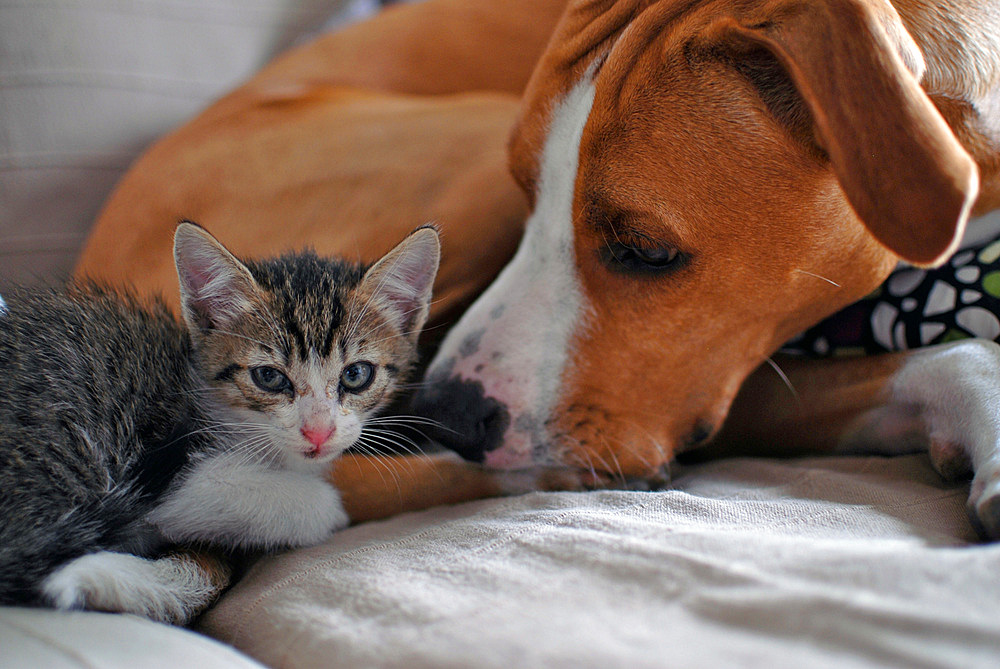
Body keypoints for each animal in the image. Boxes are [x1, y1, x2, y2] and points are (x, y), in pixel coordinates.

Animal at [0, 222, 440, 624]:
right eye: (269, 377)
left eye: (356, 375)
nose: (318, 431)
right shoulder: (172, 479)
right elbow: (311, 505)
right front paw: (327, 508)